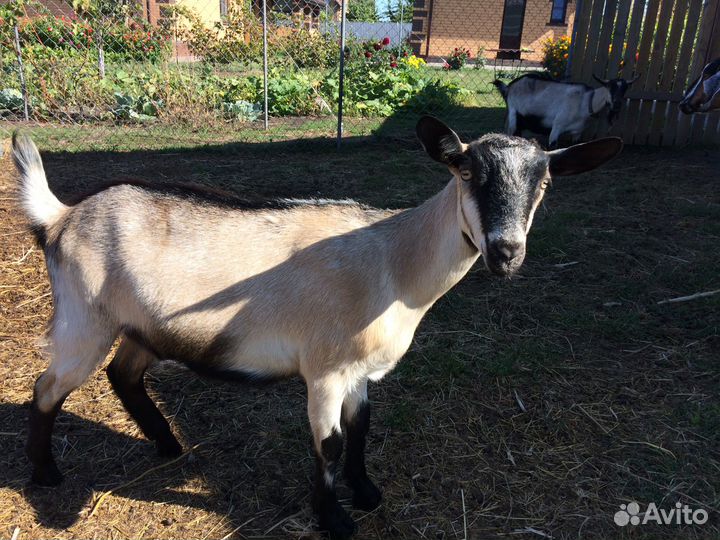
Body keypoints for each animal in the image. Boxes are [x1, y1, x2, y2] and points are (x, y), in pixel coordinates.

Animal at [13, 118, 622, 539]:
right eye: (467, 172)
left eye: (544, 183)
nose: (506, 252)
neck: (394, 264)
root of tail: (61, 216)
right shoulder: (325, 369)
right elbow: (328, 443)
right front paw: (334, 519)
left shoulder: (360, 373)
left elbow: (362, 428)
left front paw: (367, 493)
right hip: (84, 316)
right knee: (47, 388)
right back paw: (45, 473)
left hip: (143, 326)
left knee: (123, 375)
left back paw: (168, 445)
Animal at [493, 73, 639, 147]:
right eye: (610, 87)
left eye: (625, 89)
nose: (617, 104)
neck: (586, 101)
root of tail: (509, 87)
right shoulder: (557, 127)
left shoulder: (577, 133)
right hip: (513, 115)